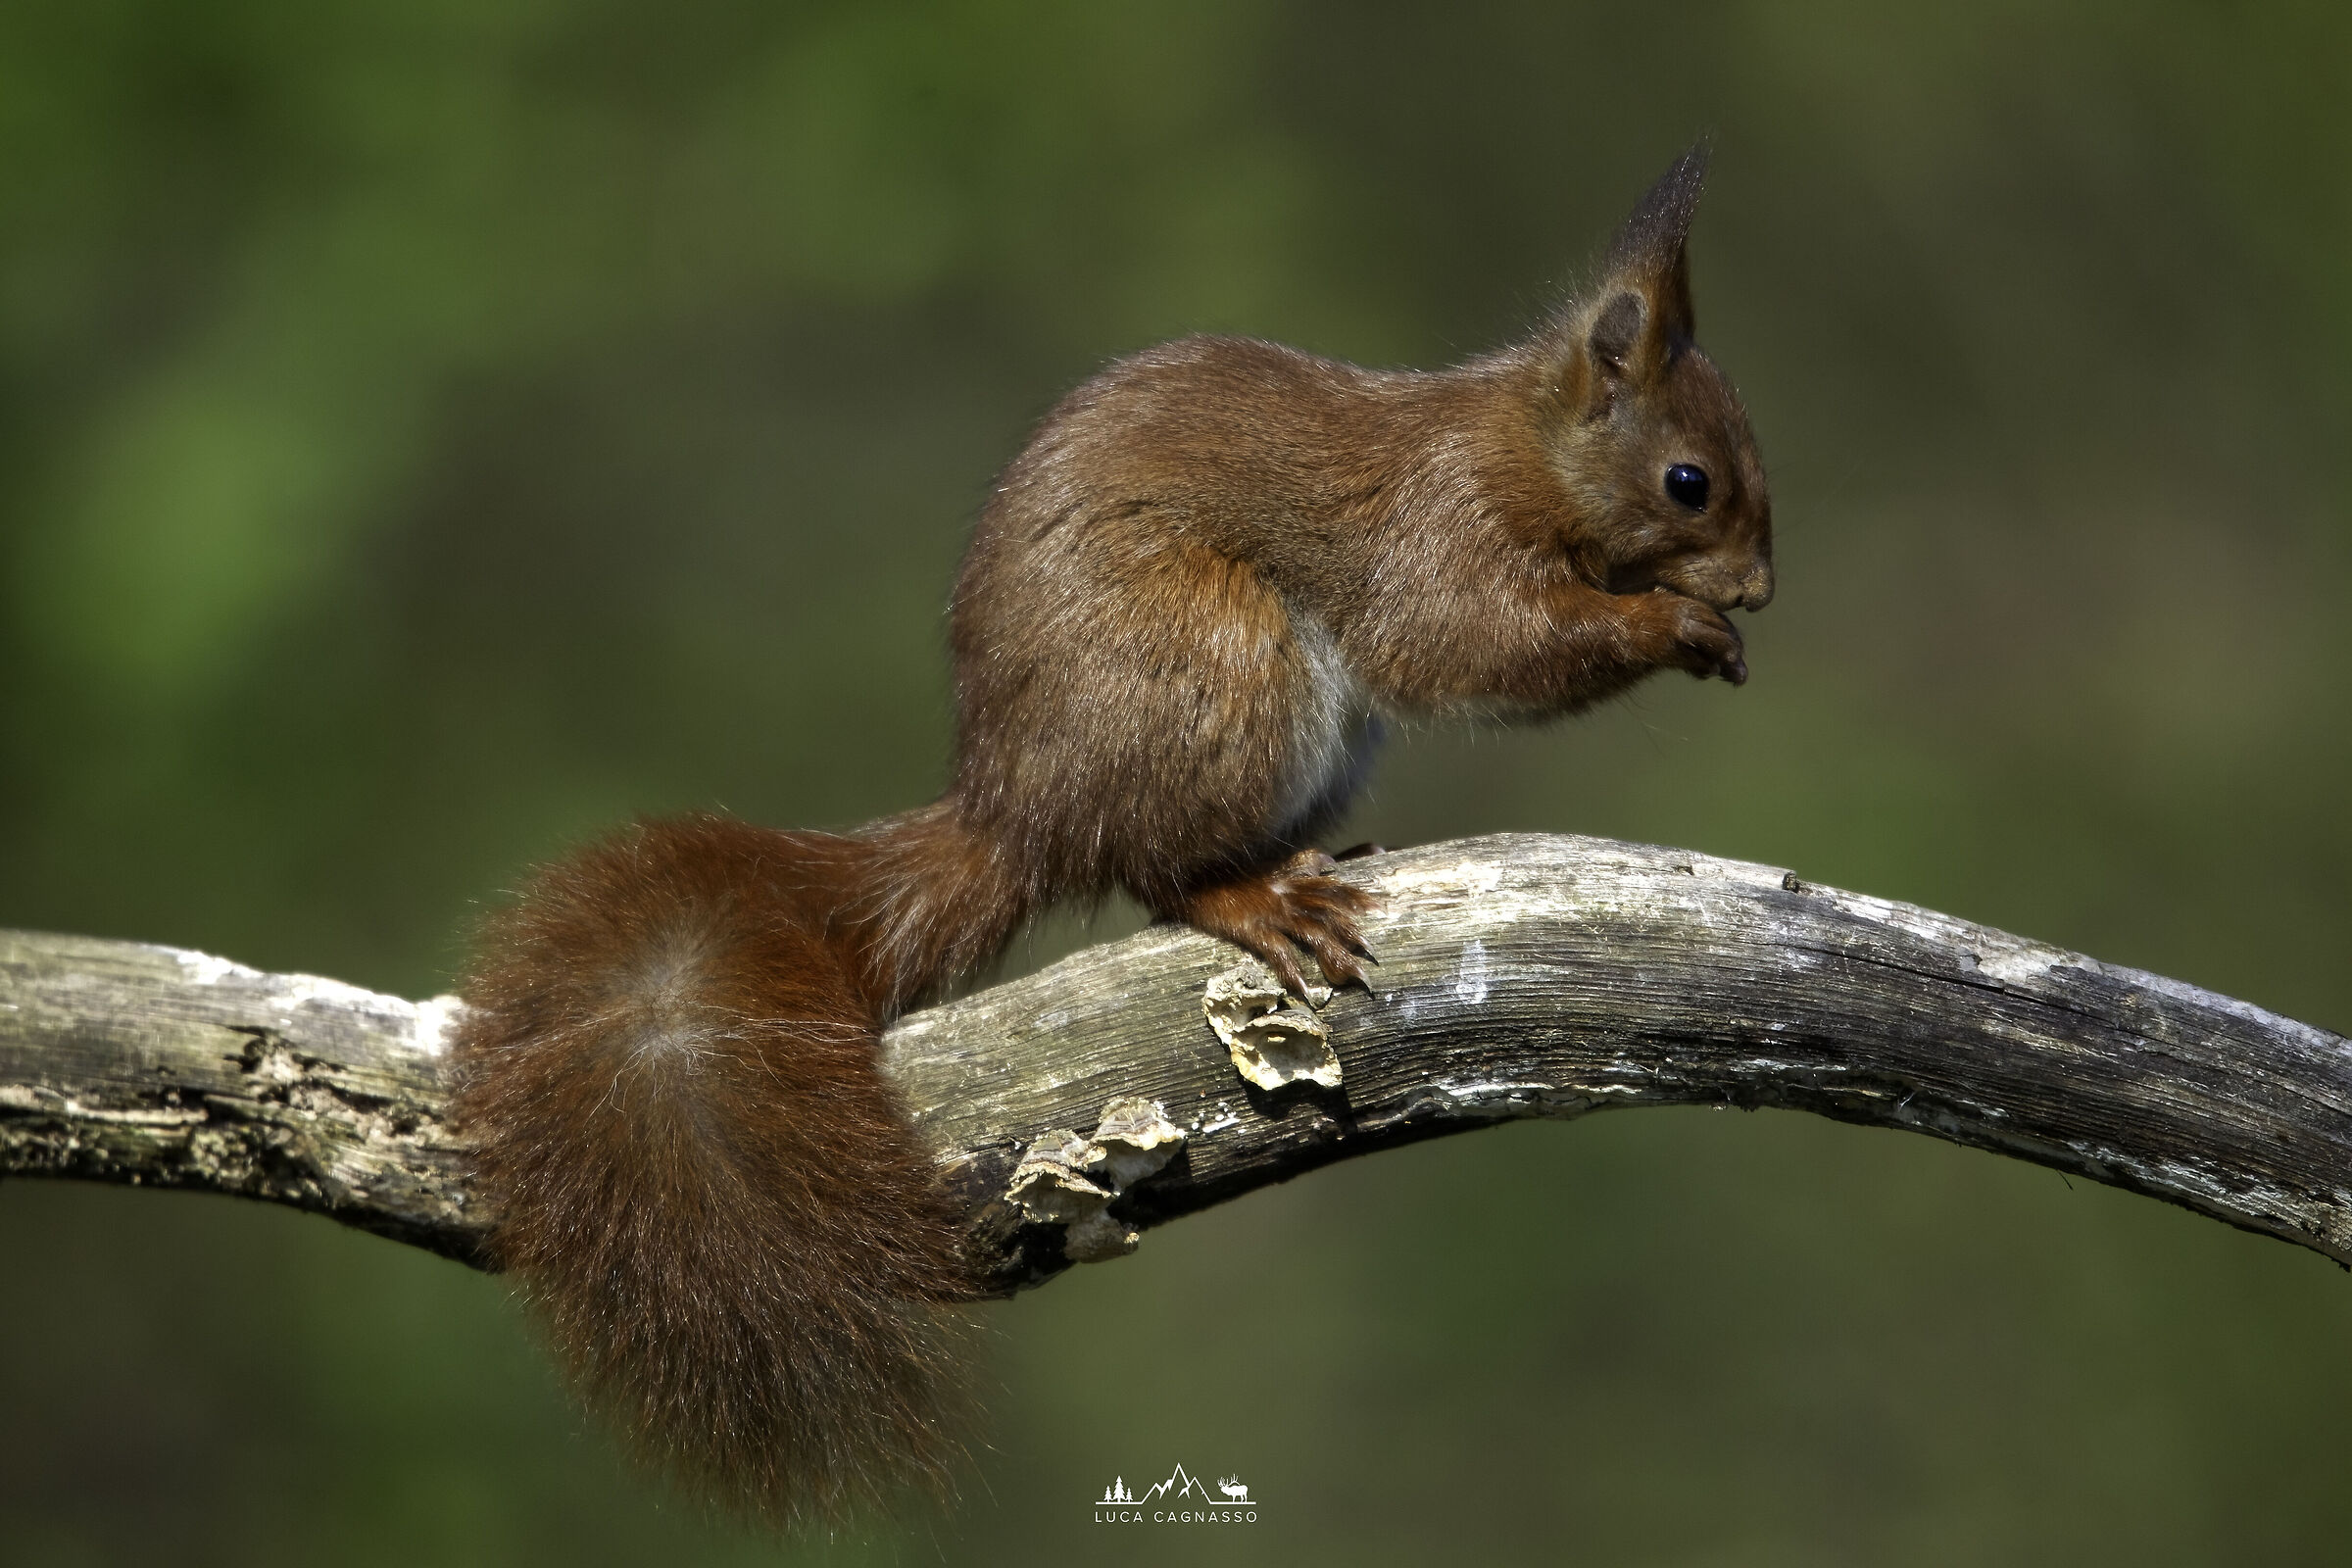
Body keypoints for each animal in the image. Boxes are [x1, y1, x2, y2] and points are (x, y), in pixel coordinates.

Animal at [452, 145, 1772, 1526]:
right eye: (1688, 482)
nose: (1758, 589)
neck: (1515, 442)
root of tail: (1016, 810)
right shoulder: (1437, 537)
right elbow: (1476, 641)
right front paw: (1671, 625)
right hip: (1221, 666)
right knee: (1155, 872)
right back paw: (1261, 898)